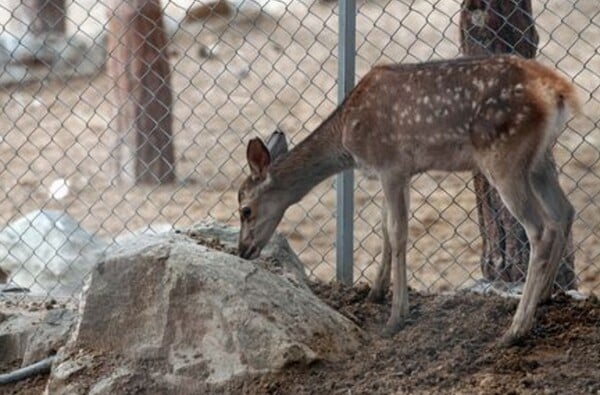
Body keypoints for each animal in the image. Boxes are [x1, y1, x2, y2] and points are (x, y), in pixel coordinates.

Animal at [237, 54, 580, 344]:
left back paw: (516, 329)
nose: (243, 251)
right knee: (564, 211)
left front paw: (396, 317)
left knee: (539, 228)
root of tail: (557, 90)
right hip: (538, 160)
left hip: (504, 156)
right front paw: (375, 292)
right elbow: (385, 227)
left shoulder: (390, 165)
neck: (346, 138)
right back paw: (545, 296)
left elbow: (398, 232)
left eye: (245, 210)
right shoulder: (400, 173)